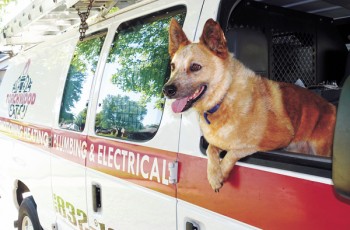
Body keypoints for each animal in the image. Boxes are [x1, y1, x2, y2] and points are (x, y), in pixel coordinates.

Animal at [163, 18, 336, 192]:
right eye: (172, 66)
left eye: (195, 67)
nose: (166, 90)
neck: (223, 99)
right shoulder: (217, 141)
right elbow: (211, 148)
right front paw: (214, 175)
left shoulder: (274, 140)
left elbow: (238, 148)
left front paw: (222, 170)